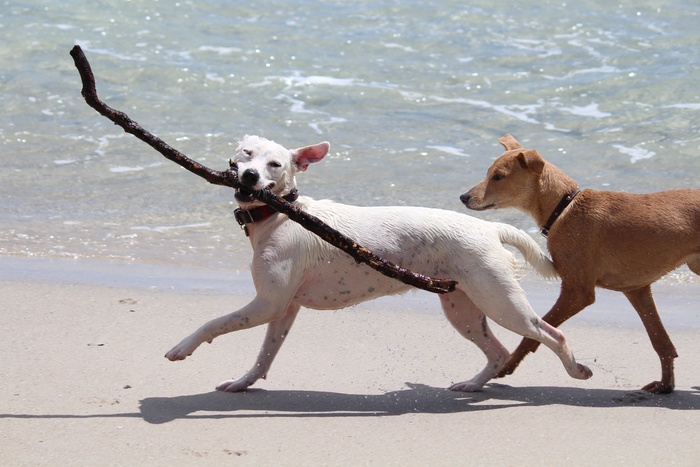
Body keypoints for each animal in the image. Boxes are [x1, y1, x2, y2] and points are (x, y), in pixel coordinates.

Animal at [165, 135, 592, 392]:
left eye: (276, 165)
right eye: (247, 156)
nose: (250, 176)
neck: (281, 214)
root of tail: (488, 228)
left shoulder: (266, 304)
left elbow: (213, 323)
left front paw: (182, 348)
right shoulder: (283, 309)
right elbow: (265, 354)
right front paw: (243, 383)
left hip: (501, 302)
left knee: (552, 334)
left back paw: (576, 370)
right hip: (465, 309)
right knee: (499, 352)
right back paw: (472, 386)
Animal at [460, 133, 700, 394]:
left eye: (498, 176)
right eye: (488, 172)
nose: (463, 197)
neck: (564, 207)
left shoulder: (577, 292)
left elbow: (536, 333)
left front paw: (507, 366)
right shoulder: (637, 290)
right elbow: (661, 342)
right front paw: (666, 385)